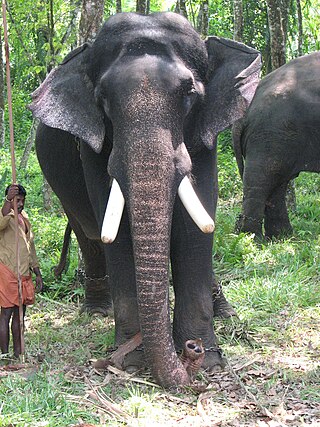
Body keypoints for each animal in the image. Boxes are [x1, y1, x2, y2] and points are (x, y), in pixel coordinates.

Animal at [28, 12, 262, 388]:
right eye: (102, 98)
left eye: (189, 93)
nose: (191, 353)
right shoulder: (95, 146)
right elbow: (119, 234)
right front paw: (133, 361)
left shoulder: (204, 134)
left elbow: (196, 229)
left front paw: (210, 362)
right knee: (88, 235)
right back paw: (97, 311)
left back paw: (225, 313)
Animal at [232, 51, 320, 239]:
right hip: (270, 133)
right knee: (262, 180)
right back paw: (251, 237)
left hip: (279, 136)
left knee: (278, 182)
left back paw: (281, 236)